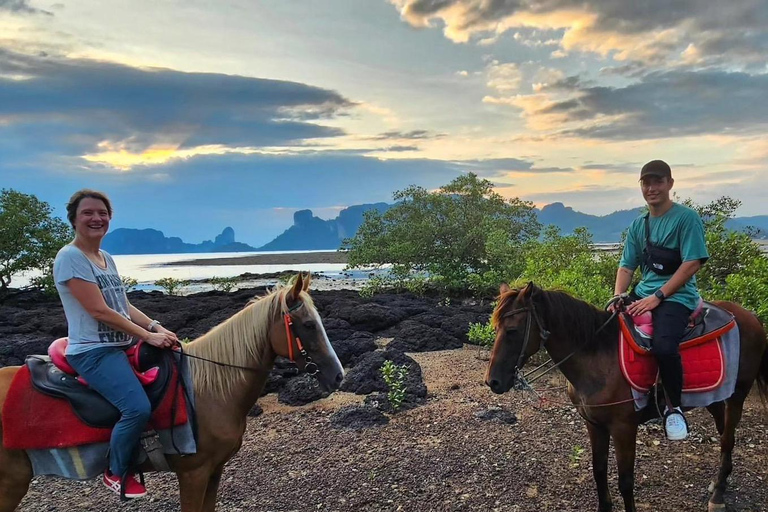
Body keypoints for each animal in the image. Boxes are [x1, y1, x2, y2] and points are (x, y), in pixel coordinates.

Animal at [0, 274, 342, 510]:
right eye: (308, 325)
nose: (338, 376)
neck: (207, 391)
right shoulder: (193, 473)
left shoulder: (214, 470)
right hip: (10, 483)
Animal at [486, 282, 768, 510]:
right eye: (496, 327)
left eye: (512, 330)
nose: (493, 381)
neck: (598, 357)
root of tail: (750, 317)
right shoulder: (594, 424)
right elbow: (599, 470)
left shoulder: (624, 428)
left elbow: (625, 481)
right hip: (715, 396)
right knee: (723, 433)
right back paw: (719, 481)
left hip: (738, 394)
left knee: (728, 439)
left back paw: (718, 495)